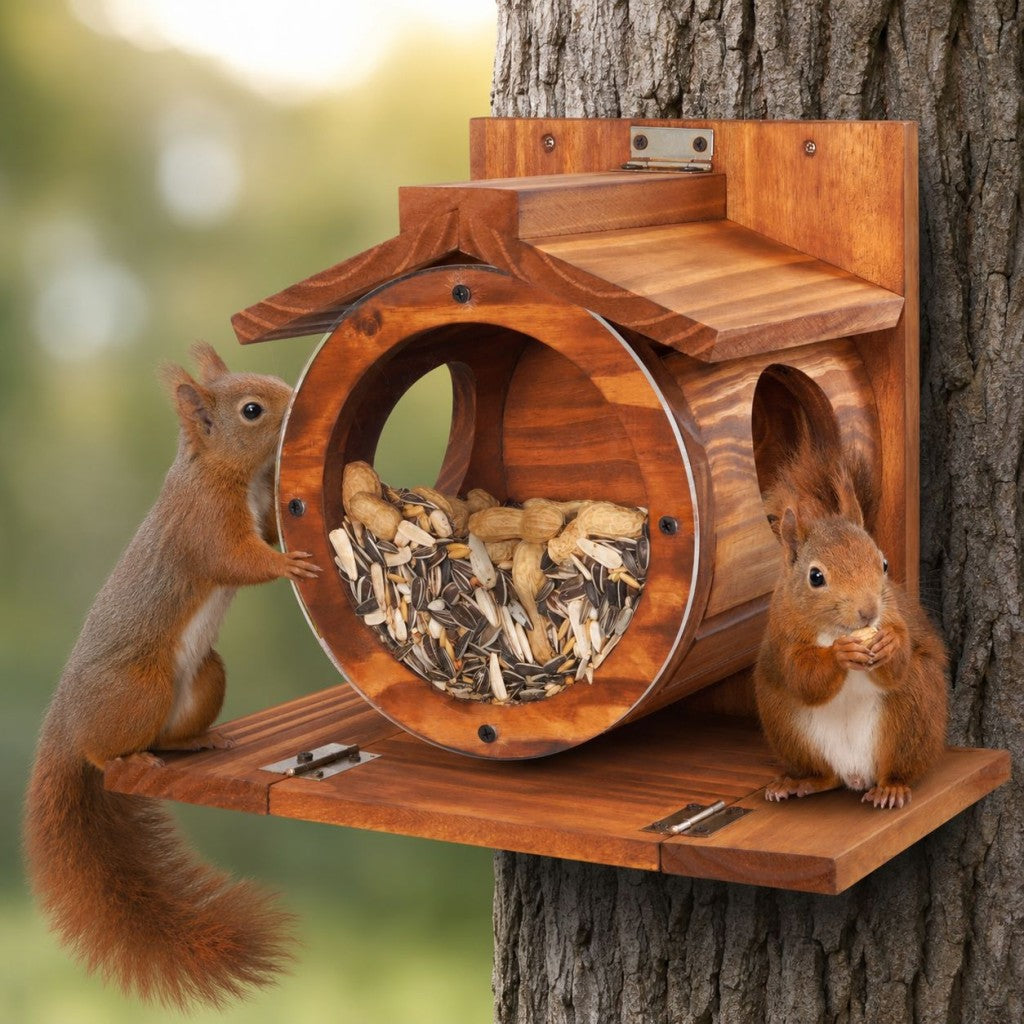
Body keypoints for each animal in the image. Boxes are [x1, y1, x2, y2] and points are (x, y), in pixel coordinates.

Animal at [23, 343, 321, 1008]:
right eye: (253, 410)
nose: (298, 400)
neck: (221, 472)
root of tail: (62, 722)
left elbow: (264, 532)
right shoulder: (205, 522)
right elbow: (237, 559)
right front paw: (289, 562)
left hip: (205, 677)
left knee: (169, 734)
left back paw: (196, 742)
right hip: (141, 689)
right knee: (102, 753)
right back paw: (123, 758)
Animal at [754, 437, 948, 809]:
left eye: (884, 563)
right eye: (815, 577)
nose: (868, 612)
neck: (835, 631)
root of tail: (856, 774)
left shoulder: (894, 617)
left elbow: (897, 664)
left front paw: (890, 645)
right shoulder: (784, 637)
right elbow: (802, 676)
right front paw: (839, 655)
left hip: (914, 709)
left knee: (898, 768)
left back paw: (891, 788)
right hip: (787, 724)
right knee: (825, 777)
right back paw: (797, 783)